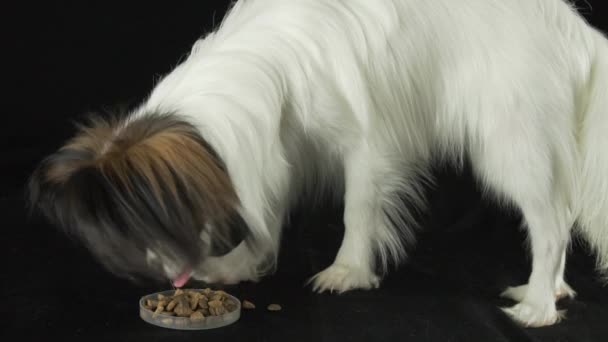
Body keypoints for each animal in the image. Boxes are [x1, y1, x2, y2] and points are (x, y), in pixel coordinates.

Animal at [28, 0, 608, 328]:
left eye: (160, 228)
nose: (170, 280)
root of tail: (579, 34)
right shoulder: (276, 152)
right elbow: (263, 219)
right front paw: (242, 268)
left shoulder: (369, 146)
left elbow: (357, 213)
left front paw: (346, 273)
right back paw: (552, 290)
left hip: (509, 141)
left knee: (551, 222)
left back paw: (538, 306)